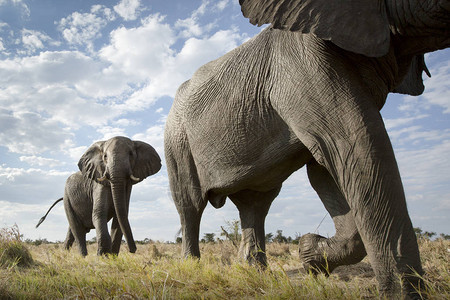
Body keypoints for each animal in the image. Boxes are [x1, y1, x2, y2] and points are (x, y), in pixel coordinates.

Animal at [165, 0, 450, 298]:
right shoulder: (303, 64)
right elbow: (356, 146)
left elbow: (327, 167)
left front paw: (310, 255)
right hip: (177, 142)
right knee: (190, 204)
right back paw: (192, 268)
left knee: (255, 205)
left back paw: (255, 272)